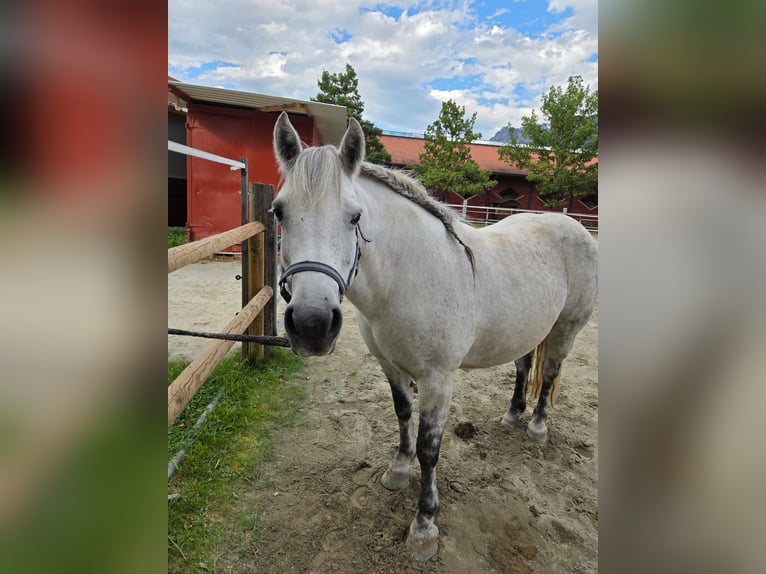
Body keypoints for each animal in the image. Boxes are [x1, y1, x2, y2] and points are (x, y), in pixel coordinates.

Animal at [271, 112, 598, 561]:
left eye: (355, 217)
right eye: (279, 213)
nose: (312, 324)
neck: (407, 276)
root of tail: (574, 226)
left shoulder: (438, 379)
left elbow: (430, 449)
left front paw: (424, 527)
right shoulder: (391, 367)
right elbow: (402, 416)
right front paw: (397, 471)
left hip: (565, 329)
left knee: (547, 375)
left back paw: (536, 429)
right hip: (528, 329)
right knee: (523, 366)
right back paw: (513, 415)